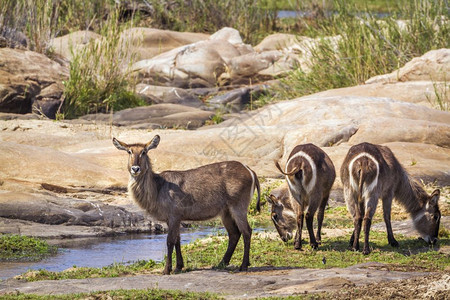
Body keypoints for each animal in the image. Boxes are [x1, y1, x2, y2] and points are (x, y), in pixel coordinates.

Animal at [112, 136, 260, 274]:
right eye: (129, 151)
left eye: (144, 151)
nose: (135, 168)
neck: (157, 188)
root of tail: (250, 170)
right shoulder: (174, 218)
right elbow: (178, 240)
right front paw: (178, 266)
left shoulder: (174, 215)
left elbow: (170, 241)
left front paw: (166, 270)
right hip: (226, 212)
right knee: (234, 233)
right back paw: (221, 263)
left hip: (238, 207)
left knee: (246, 231)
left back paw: (243, 265)